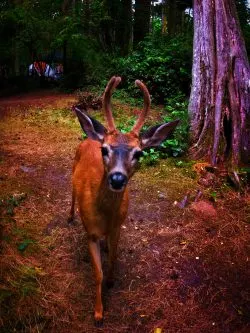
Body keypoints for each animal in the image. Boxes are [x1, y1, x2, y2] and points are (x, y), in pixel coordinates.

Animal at [67, 76, 179, 324]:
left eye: (139, 152)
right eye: (105, 149)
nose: (117, 178)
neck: (104, 216)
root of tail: (91, 137)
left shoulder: (118, 227)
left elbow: (113, 259)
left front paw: (111, 279)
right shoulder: (90, 233)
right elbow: (97, 274)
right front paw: (98, 313)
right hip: (72, 172)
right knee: (71, 195)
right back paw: (69, 217)